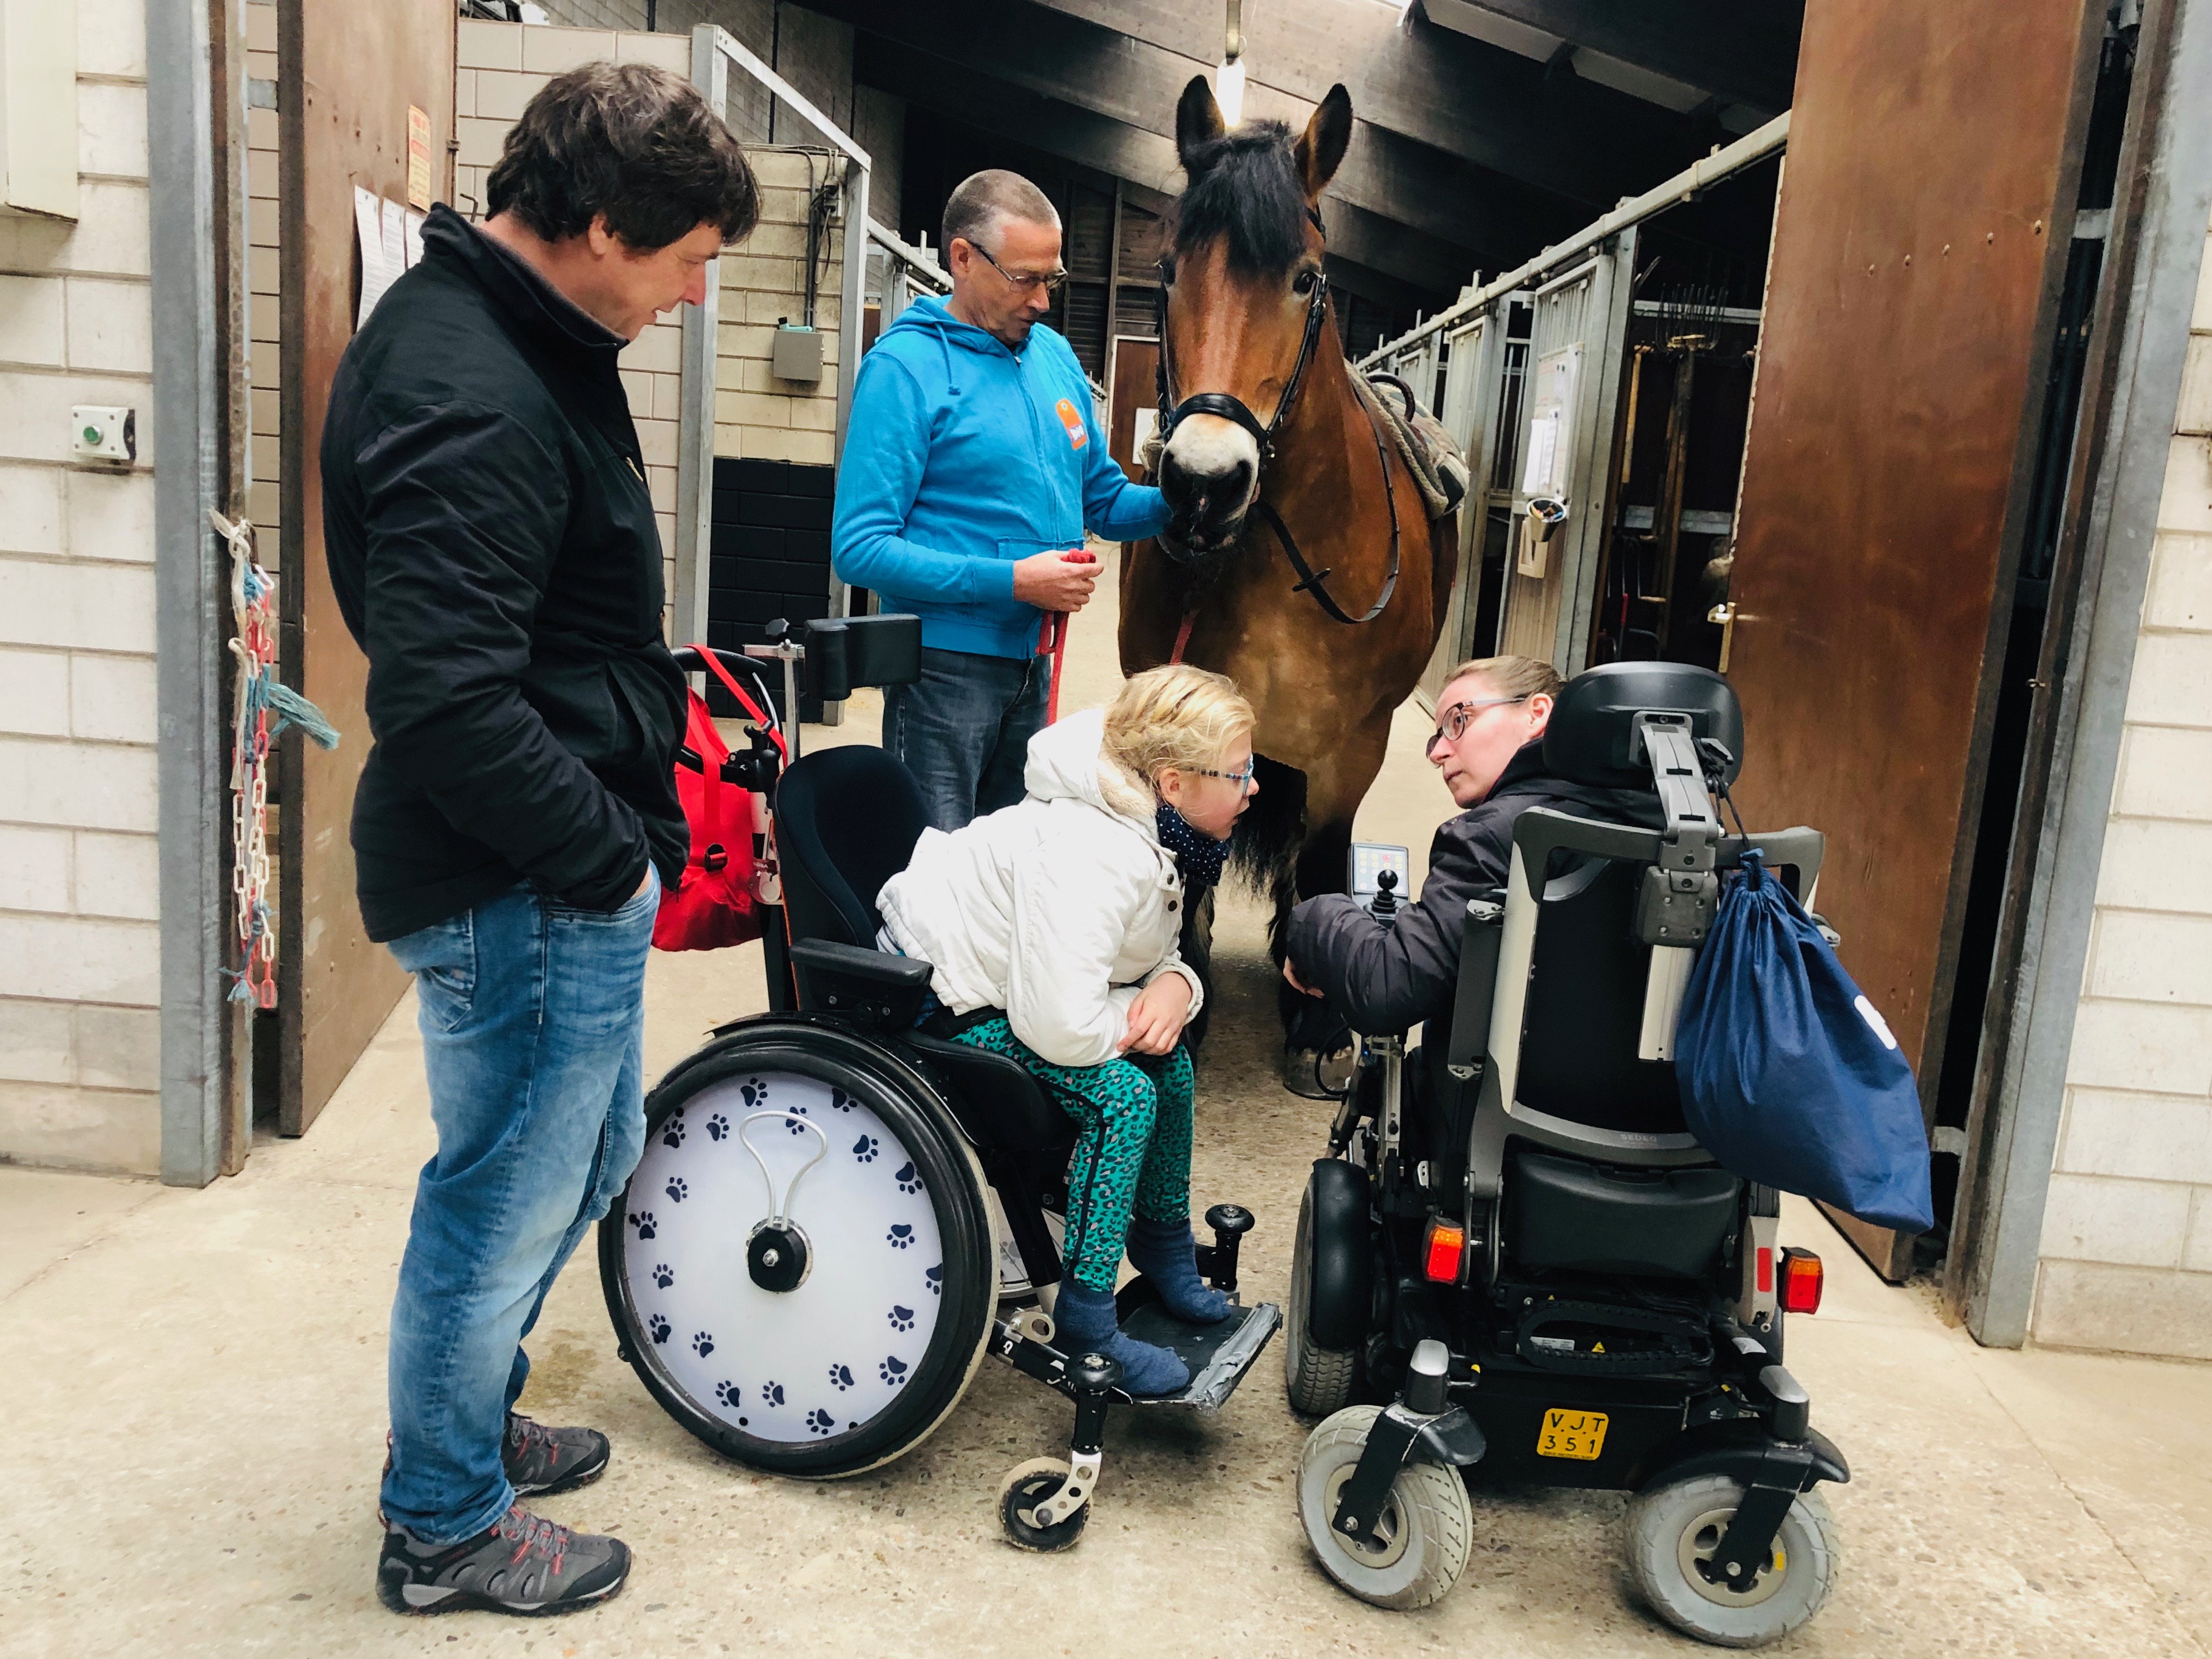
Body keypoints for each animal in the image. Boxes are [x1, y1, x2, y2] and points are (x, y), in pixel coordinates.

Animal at [1119, 77, 1456, 1052]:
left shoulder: (1355, 748)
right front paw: (1184, 985)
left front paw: (1317, 1014)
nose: (1203, 485)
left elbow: (1321, 853)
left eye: (1304, 280)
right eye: (1168, 274)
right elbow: (1190, 854)